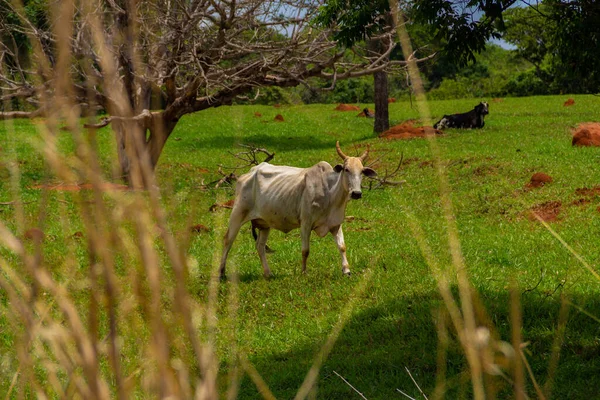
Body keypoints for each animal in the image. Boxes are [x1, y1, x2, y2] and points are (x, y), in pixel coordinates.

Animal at [218, 141, 378, 278]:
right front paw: (303, 272)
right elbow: (305, 250)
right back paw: (221, 273)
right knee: (227, 240)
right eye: (346, 169)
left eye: (362, 171)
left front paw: (346, 270)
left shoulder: (335, 224)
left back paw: (268, 273)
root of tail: (249, 173)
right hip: (237, 214)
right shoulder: (306, 223)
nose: (356, 193)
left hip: (264, 223)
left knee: (260, 246)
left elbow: (342, 246)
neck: (330, 193)